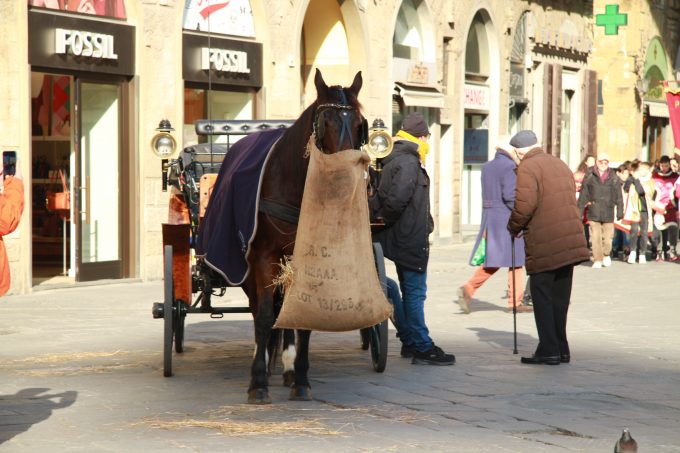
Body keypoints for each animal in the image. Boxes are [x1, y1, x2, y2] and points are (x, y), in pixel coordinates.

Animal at [240, 68, 366, 402]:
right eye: (326, 123)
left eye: (360, 125)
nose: (346, 175)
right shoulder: (263, 257)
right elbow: (265, 316)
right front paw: (258, 381)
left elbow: (302, 319)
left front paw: (300, 378)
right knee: (258, 310)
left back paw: (285, 367)